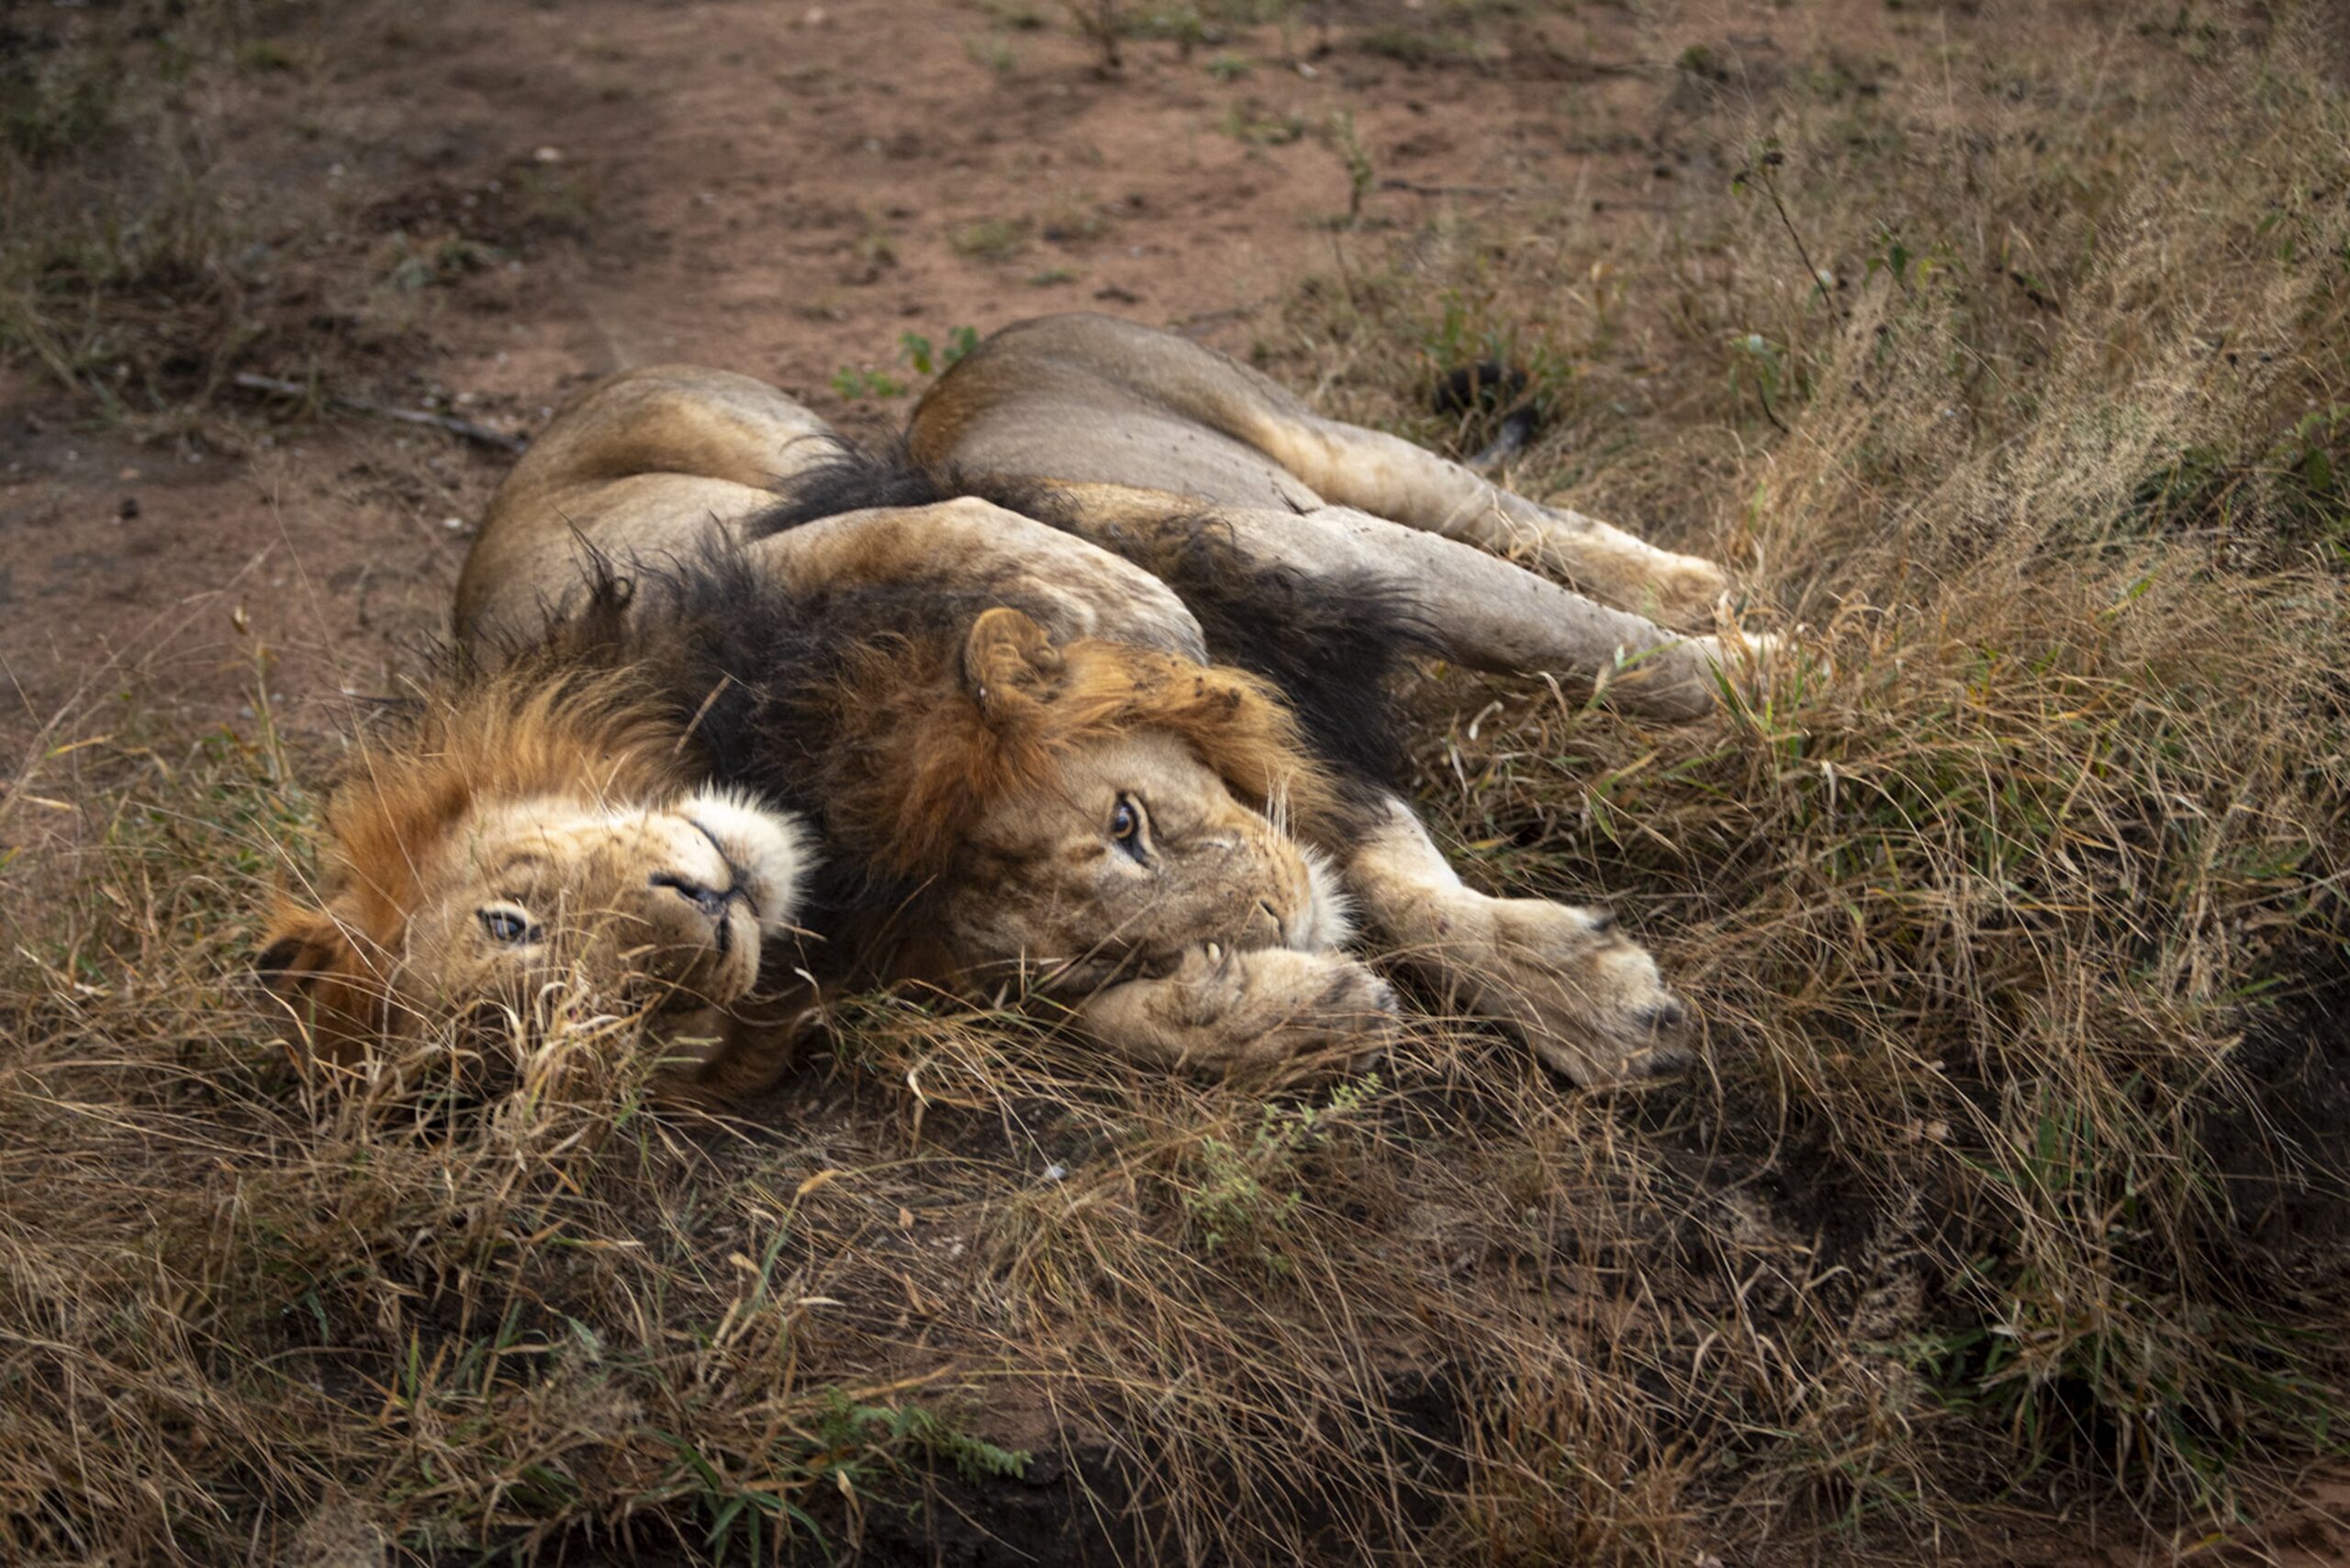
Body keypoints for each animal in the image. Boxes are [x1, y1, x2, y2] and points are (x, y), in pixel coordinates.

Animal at [273, 315, 1757, 1089]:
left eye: (513, 917)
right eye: (1105, 964)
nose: (698, 909)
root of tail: (993, 344)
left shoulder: (1305, 566)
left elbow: (1574, 649)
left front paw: (1767, 689)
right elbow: (1352, 867)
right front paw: (1270, 1007)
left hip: (1304, 457)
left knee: (1517, 523)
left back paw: (1711, 595)